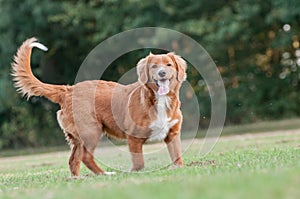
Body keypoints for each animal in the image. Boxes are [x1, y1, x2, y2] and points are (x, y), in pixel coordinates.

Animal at [12, 38, 188, 176]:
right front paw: (134, 173)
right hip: (92, 130)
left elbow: (177, 156)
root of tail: (68, 90)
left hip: (78, 137)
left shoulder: (172, 133)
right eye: (154, 66)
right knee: (85, 157)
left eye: (169, 64)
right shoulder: (133, 137)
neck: (160, 100)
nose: (162, 73)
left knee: (73, 160)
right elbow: (139, 163)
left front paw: (177, 168)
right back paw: (105, 174)